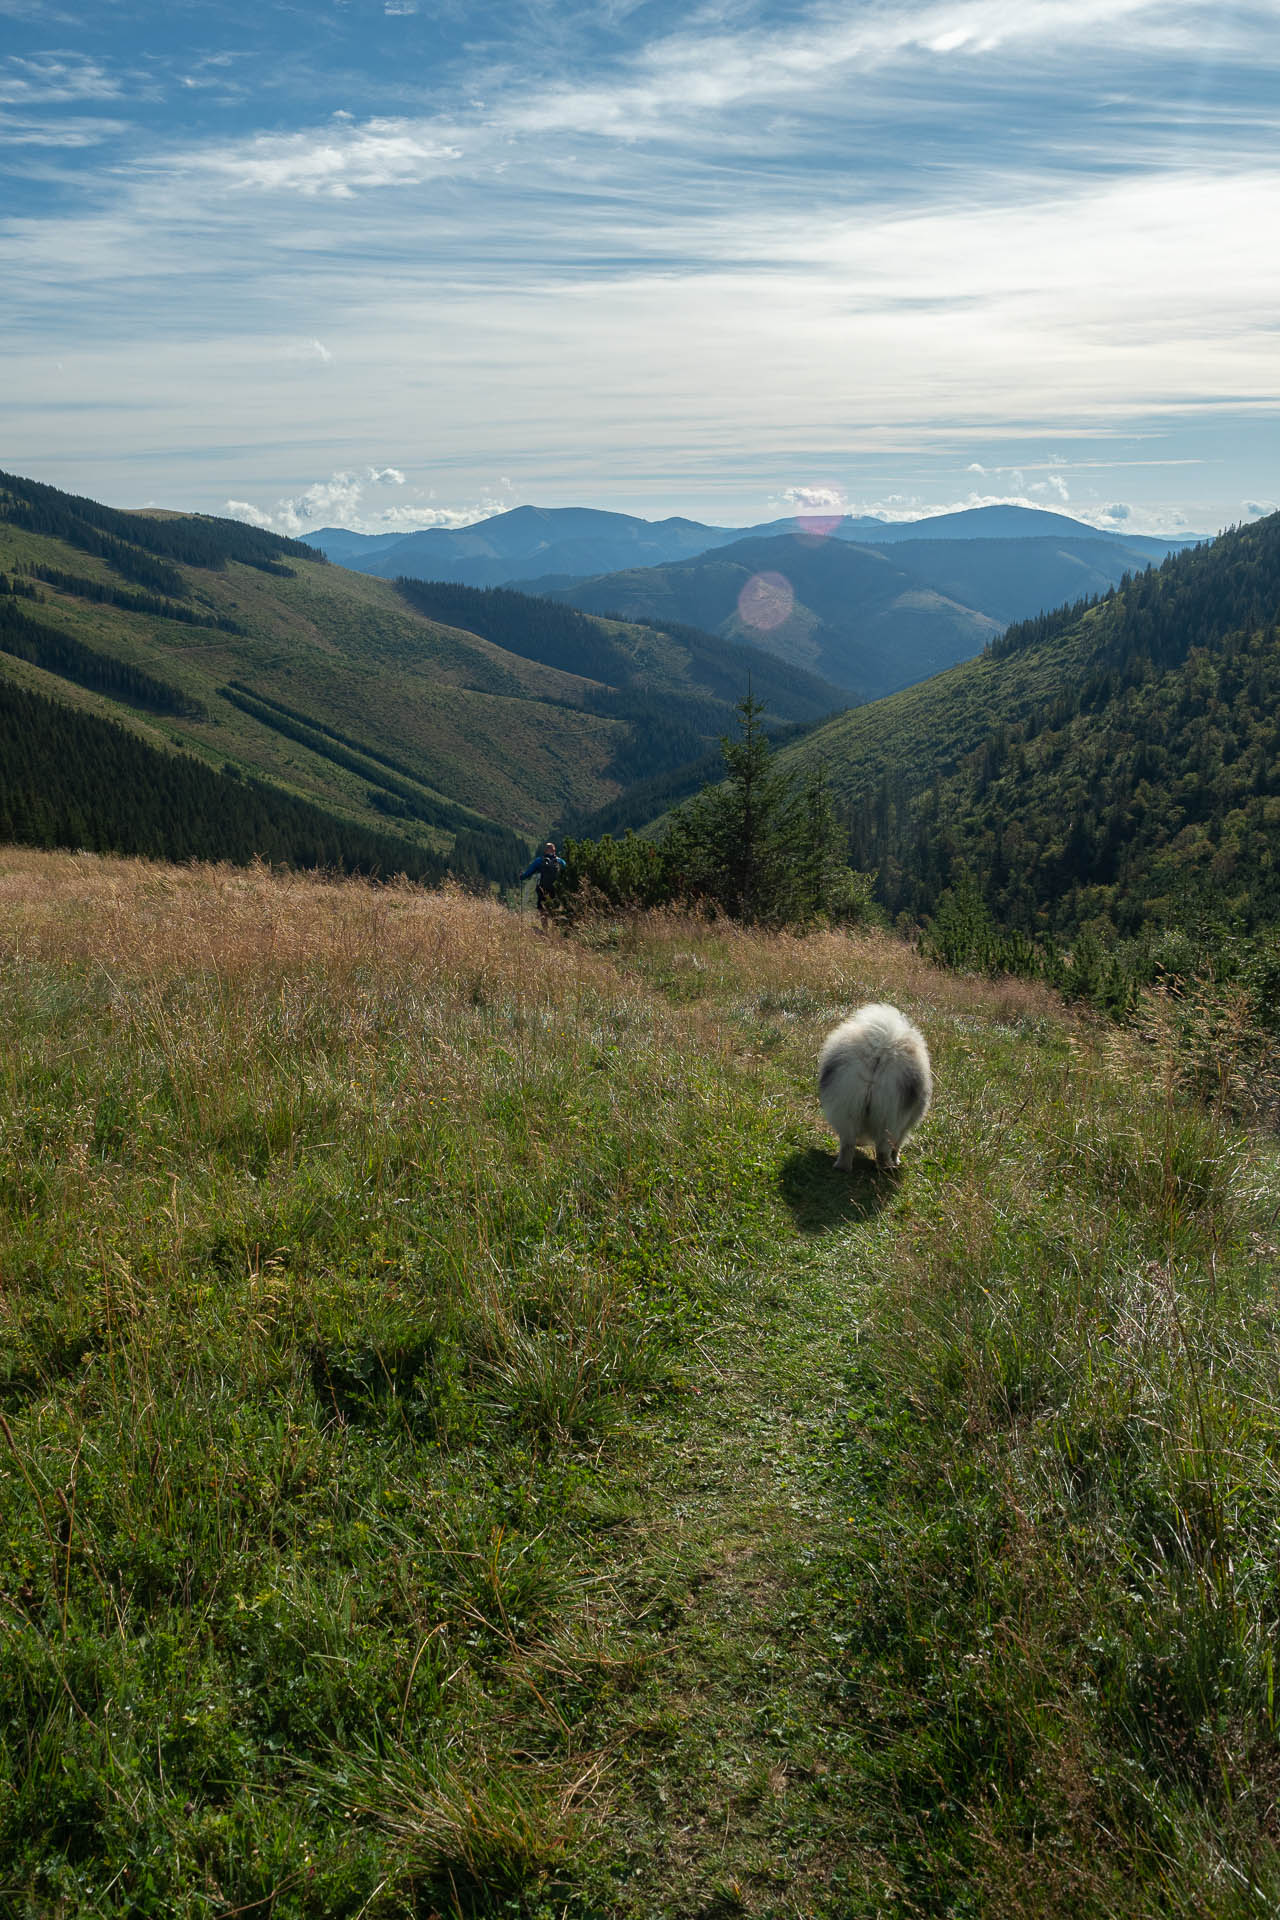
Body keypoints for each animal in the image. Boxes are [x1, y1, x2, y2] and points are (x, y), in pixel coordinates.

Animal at [821, 1006, 932, 1167]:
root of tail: (879, 1052)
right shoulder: (907, 1125)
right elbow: (897, 1146)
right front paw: (897, 1160)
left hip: (847, 1107)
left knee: (847, 1145)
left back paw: (842, 1167)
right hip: (890, 1118)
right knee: (883, 1151)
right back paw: (888, 1166)